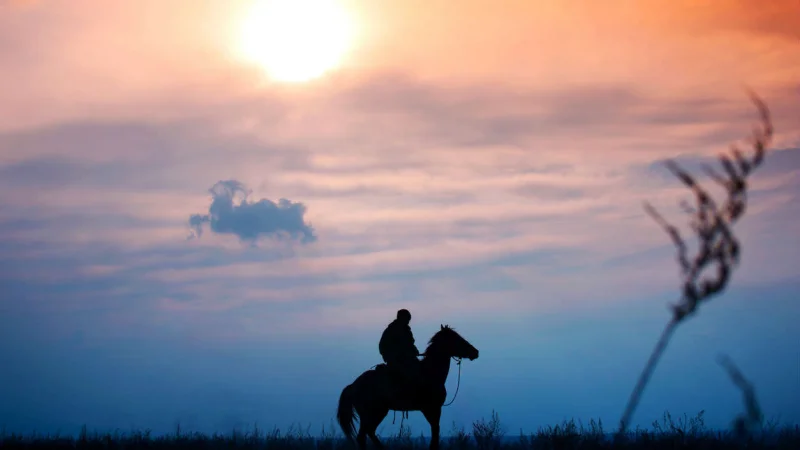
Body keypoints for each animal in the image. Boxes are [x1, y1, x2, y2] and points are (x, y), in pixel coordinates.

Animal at [334, 326, 478, 448]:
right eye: (456, 338)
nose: (475, 352)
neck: (430, 372)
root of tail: (353, 385)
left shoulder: (431, 409)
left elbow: (435, 431)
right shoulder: (432, 408)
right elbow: (435, 432)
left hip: (377, 413)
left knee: (369, 433)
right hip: (371, 413)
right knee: (363, 436)